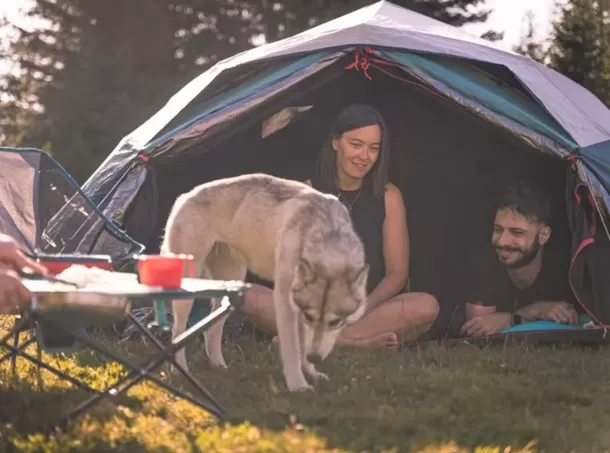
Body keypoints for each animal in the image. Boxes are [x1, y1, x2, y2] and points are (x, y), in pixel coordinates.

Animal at [160, 171, 366, 390]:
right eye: (310, 317)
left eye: (335, 322)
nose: (316, 358)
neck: (327, 234)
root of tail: (185, 195)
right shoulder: (286, 303)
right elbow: (292, 349)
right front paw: (298, 385)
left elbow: (304, 345)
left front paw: (311, 373)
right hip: (187, 292)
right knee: (177, 333)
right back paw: (180, 371)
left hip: (231, 290)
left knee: (211, 332)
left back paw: (220, 366)